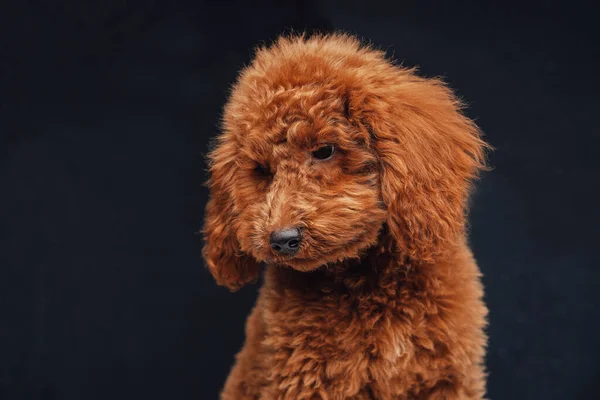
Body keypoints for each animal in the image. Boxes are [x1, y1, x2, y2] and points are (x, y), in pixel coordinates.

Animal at [202, 32, 488, 398]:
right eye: (262, 170)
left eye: (324, 150)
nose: (282, 240)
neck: (373, 282)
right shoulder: (308, 383)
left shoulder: (447, 380)